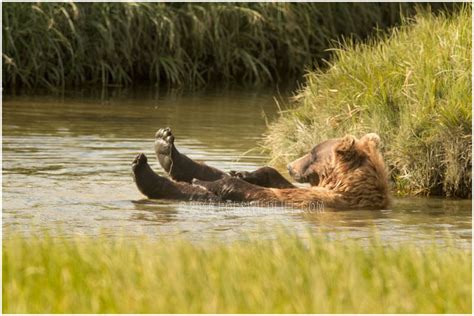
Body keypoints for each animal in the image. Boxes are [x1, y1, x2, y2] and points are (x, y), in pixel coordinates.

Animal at [131, 127, 390, 209]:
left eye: (313, 152)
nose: (290, 165)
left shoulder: (319, 199)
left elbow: (270, 194)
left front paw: (216, 181)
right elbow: (272, 177)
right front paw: (244, 172)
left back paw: (145, 171)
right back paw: (164, 146)